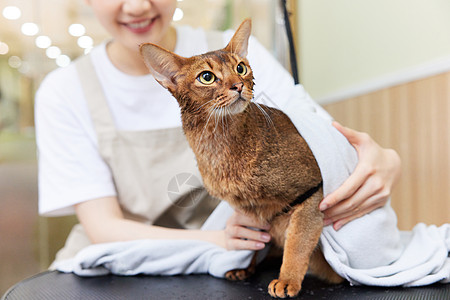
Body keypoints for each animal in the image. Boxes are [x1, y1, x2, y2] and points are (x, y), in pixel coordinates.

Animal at [140, 18, 342, 298]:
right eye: (206, 77)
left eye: (241, 67)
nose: (238, 85)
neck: (217, 144)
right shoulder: (250, 211)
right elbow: (251, 242)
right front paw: (245, 266)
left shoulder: (312, 189)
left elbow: (298, 241)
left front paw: (287, 280)